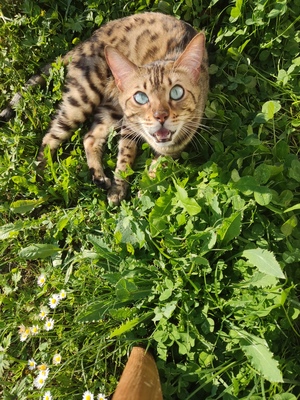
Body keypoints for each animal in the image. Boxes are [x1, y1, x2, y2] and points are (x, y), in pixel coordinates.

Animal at [1, 12, 209, 205]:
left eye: (176, 92)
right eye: (141, 97)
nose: (161, 116)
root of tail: (86, 42)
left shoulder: (175, 147)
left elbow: (158, 166)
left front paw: (145, 188)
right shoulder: (129, 126)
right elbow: (124, 158)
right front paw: (119, 189)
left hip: (110, 110)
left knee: (89, 137)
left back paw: (99, 177)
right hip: (82, 98)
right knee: (51, 136)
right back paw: (41, 174)